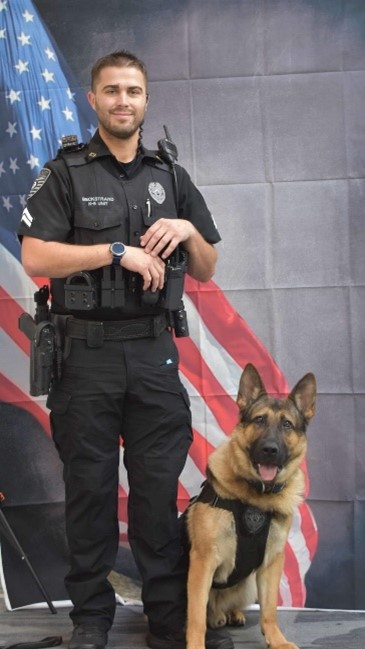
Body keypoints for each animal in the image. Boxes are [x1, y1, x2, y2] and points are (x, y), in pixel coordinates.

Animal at [185, 362, 316, 648]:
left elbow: (269, 611)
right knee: (205, 612)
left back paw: (231, 614)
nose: (270, 450)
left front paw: (276, 640)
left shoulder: (271, 563)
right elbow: (196, 617)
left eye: (287, 424)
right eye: (259, 420)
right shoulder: (202, 561)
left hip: (248, 584)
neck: (256, 498)